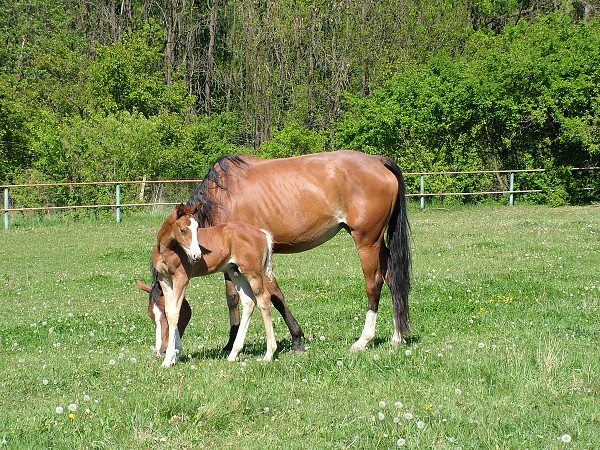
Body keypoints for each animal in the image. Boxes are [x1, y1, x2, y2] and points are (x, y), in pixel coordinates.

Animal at [177, 149, 412, 356]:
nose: (170, 352)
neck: (223, 198)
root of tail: (378, 161)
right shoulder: (232, 261)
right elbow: (233, 297)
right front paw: (230, 343)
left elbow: (275, 297)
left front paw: (297, 339)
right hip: (377, 242)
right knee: (393, 279)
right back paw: (397, 337)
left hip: (367, 241)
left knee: (374, 283)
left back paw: (363, 340)